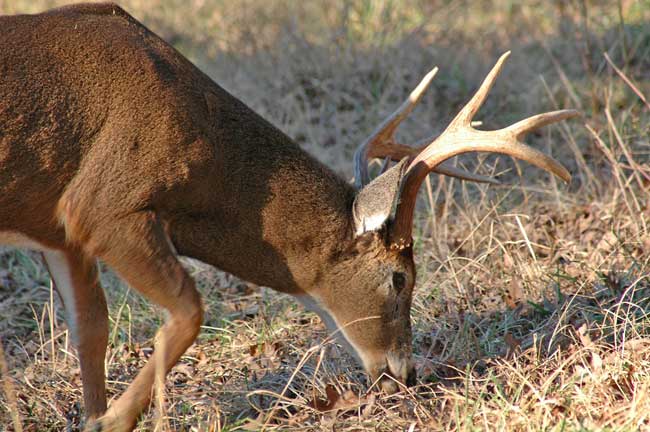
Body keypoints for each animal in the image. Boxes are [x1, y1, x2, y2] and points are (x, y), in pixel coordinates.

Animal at [0, 3, 576, 432]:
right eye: (400, 278)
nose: (406, 372)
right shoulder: (103, 204)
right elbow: (188, 310)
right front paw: (115, 420)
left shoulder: (58, 231)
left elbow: (90, 329)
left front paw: (95, 416)